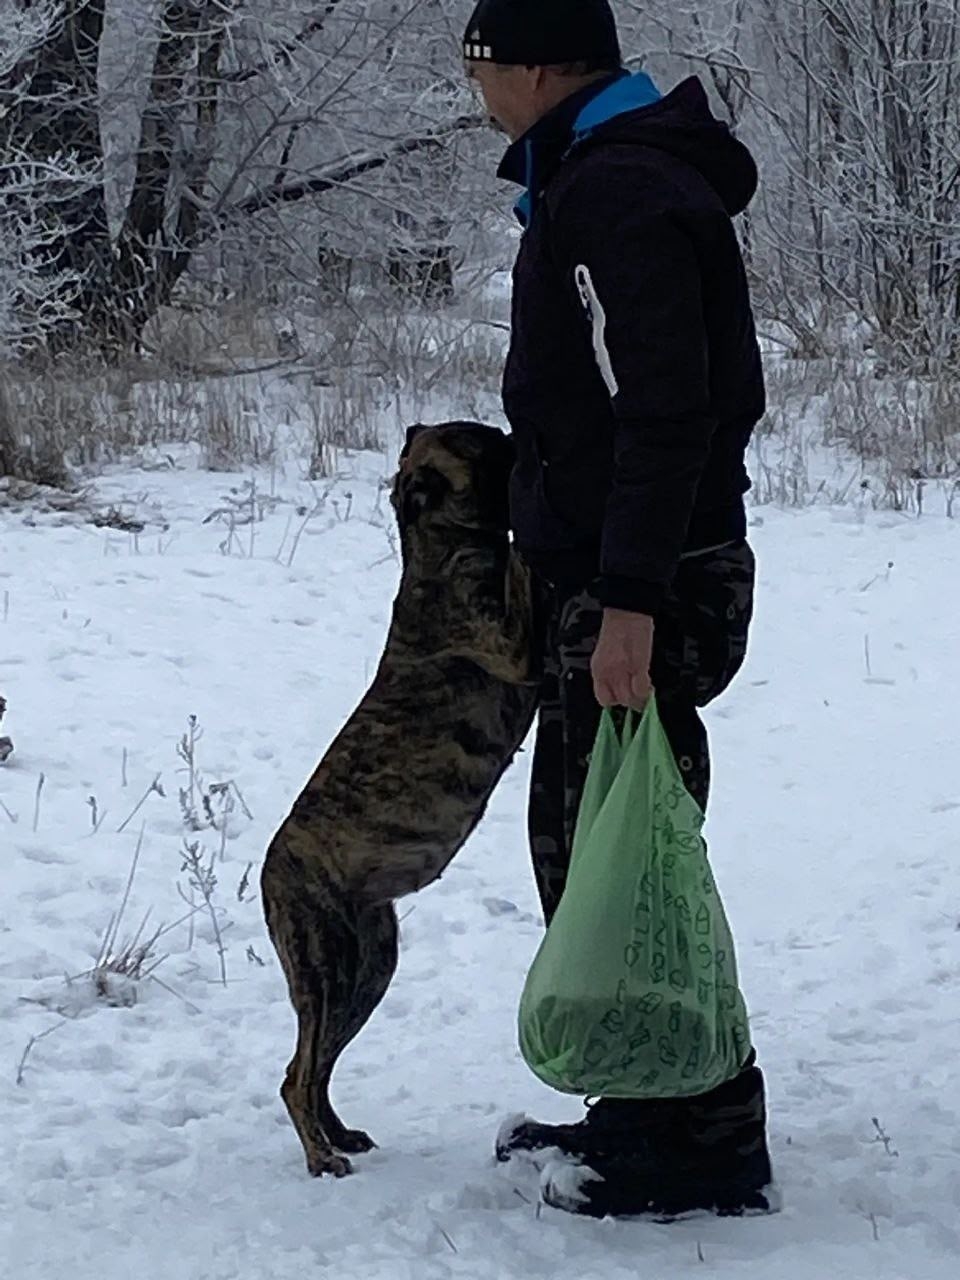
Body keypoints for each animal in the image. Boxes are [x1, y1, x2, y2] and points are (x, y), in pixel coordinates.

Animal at [261, 421, 538, 1177]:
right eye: (479, 442)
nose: (515, 431)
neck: (437, 548)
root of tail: (267, 874)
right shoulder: (514, 640)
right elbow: (528, 567)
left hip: (368, 969)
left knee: (315, 1070)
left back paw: (338, 1135)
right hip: (326, 968)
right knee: (296, 1077)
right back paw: (320, 1156)